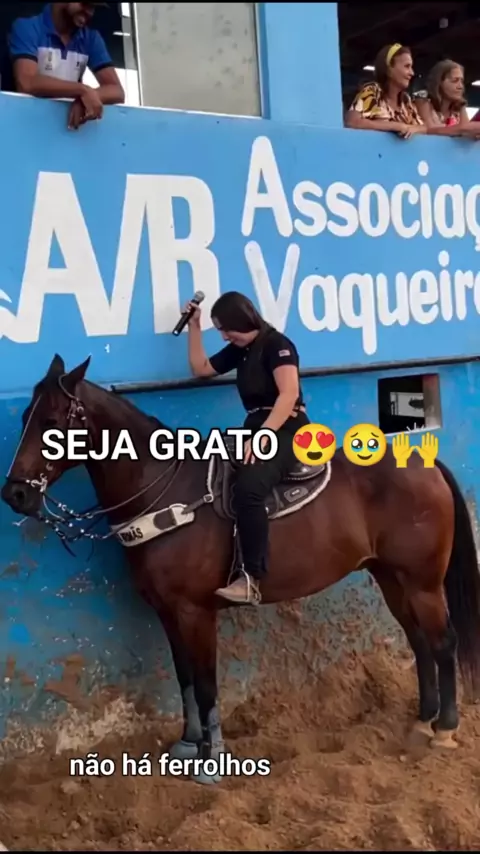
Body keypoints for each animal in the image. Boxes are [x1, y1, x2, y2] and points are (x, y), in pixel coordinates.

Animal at [2, 353, 480, 786]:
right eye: (25, 415)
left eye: (51, 420)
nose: (15, 494)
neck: (166, 493)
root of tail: (424, 464)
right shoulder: (167, 611)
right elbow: (185, 679)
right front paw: (187, 744)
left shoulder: (195, 612)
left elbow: (206, 684)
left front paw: (211, 761)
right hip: (391, 577)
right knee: (418, 641)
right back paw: (421, 722)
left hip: (422, 582)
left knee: (443, 642)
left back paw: (444, 728)